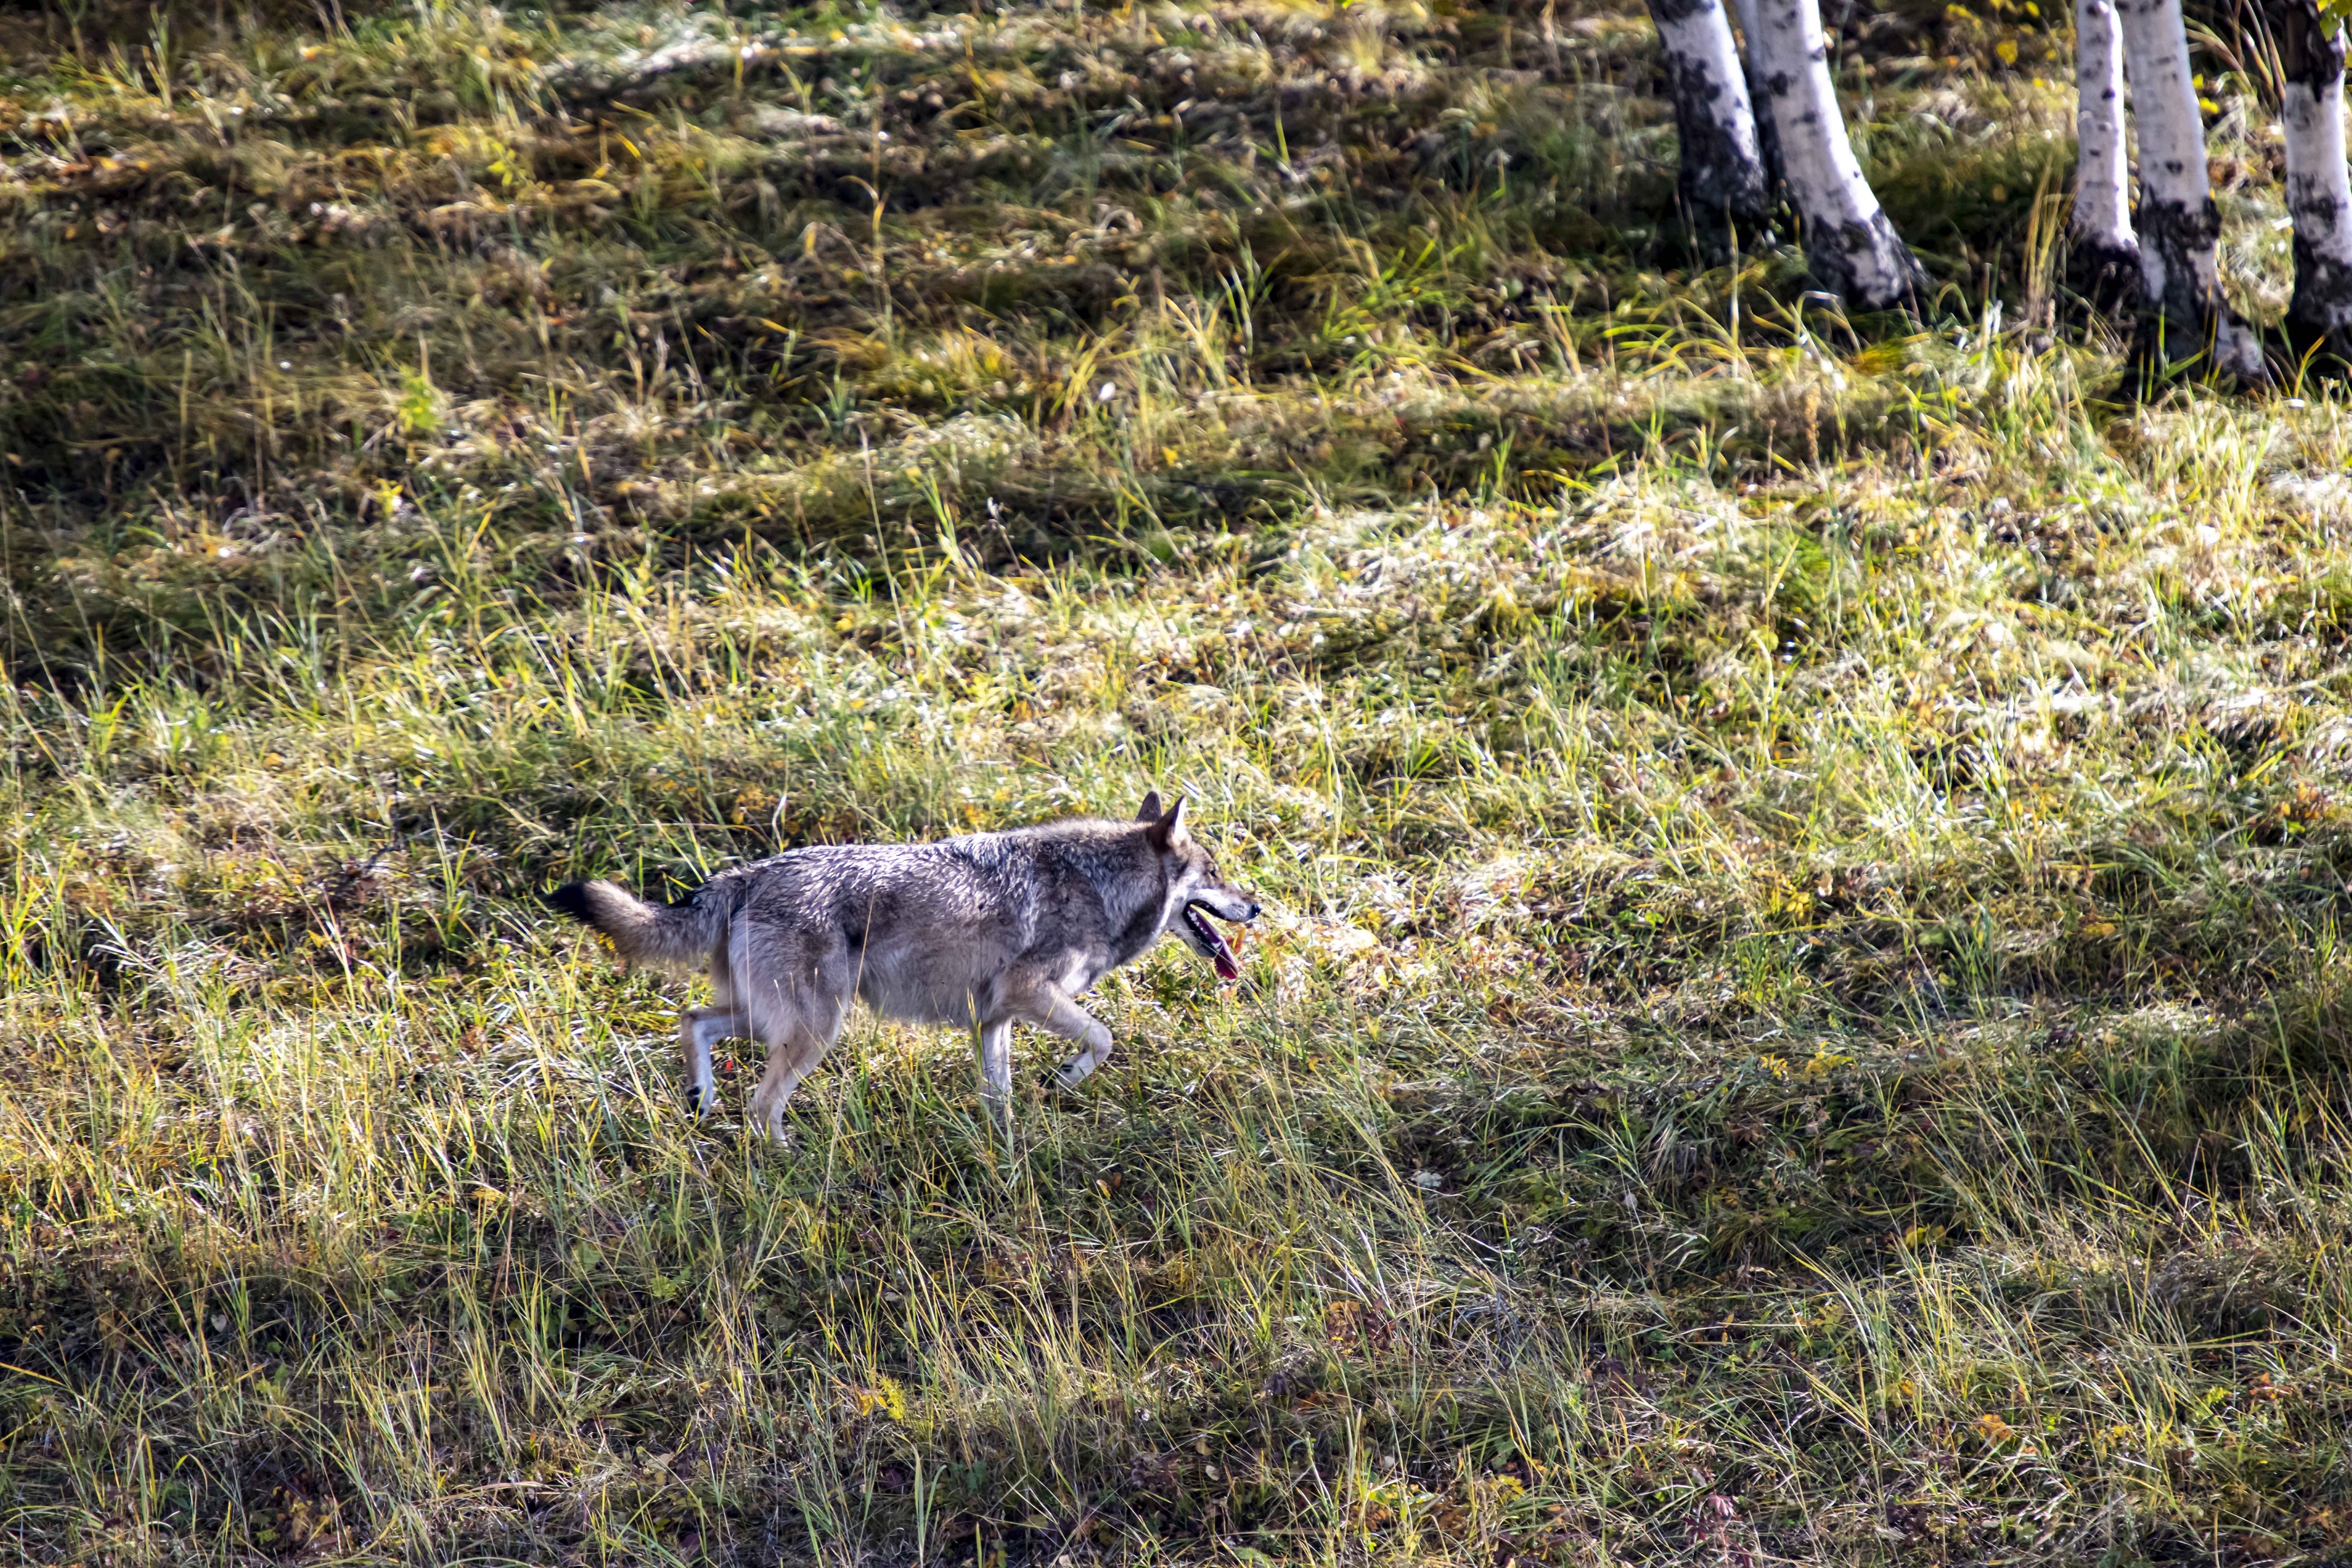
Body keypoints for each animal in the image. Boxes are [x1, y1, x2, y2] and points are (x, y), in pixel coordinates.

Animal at [547, 799, 1260, 1142]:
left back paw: (701, 1098)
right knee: (759, 1106)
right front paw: (1064, 1078)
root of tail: (746, 874)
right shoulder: (1029, 992)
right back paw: (790, 1166)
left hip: (771, 1019)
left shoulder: (993, 1019)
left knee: (692, 1019)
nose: (1255, 906)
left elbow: (999, 1097)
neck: (1099, 884)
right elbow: (1106, 1039)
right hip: (816, 1031)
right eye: (1216, 873)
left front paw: (1008, 1152)